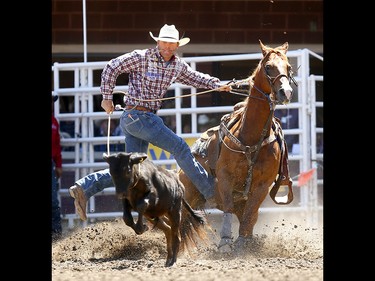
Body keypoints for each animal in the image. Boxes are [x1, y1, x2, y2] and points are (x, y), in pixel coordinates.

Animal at [179, 40, 296, 252]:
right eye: (268, 67)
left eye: (289, 67)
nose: (286, 92)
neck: (250, 138)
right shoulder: (225, 178)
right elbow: (227, 207)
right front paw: (225, 241)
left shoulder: (262, 186)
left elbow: (250, 215)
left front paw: (244, 243)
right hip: (188, 195)